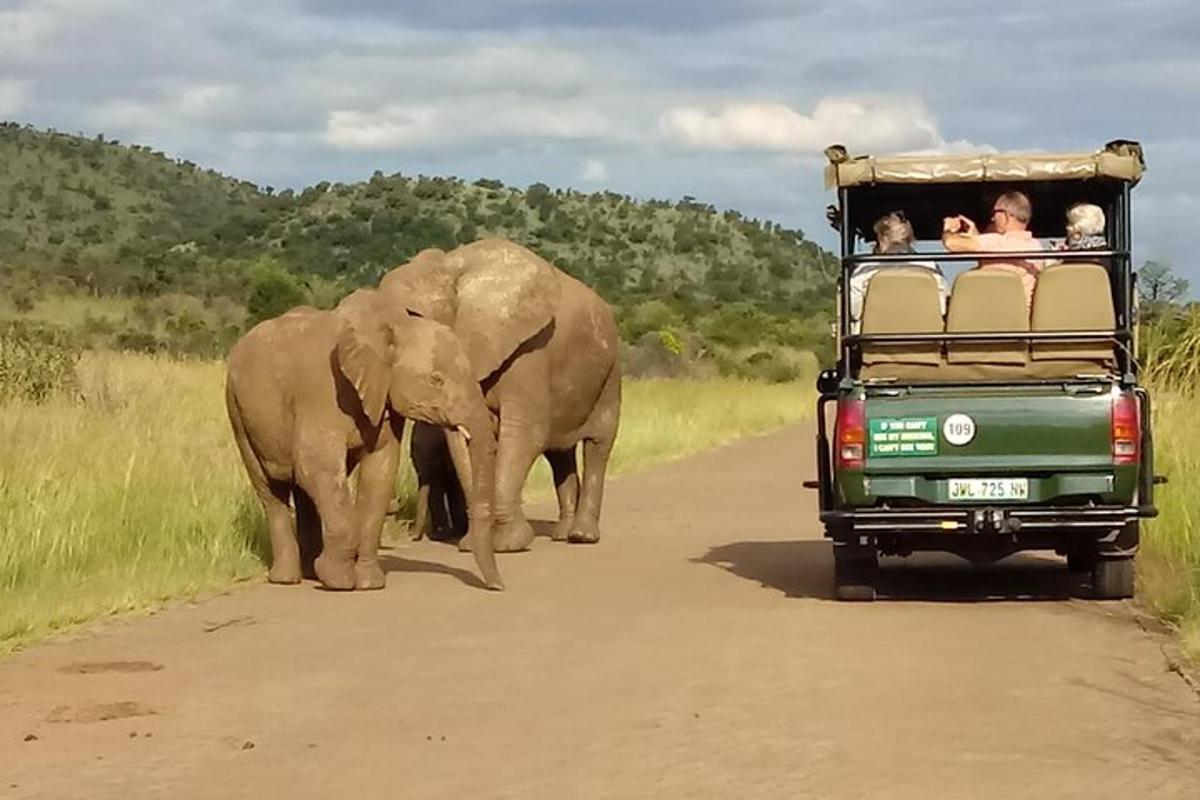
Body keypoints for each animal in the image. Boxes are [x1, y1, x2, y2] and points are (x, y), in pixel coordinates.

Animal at [225, 286, 501, 587]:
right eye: (436, 380)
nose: (499, 587)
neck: (391, 326)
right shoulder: (322, 393)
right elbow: (317, 467)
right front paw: (339, 580)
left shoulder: (384, 400)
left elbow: (379, 472)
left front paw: (369, 583)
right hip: (238, 412)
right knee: (270, 489)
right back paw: (288, 579)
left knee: (302, 490)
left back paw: (311, 572)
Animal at [379, 235, 624, 554]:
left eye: (413, 317)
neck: (449, 268)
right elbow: (464, 439)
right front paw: (475, 545)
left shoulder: (529, 353)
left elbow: (524, 431)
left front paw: (508, 544)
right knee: (559, 454)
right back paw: (562, 534)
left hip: (610, 372)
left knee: (598, 444)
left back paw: (582, 536)